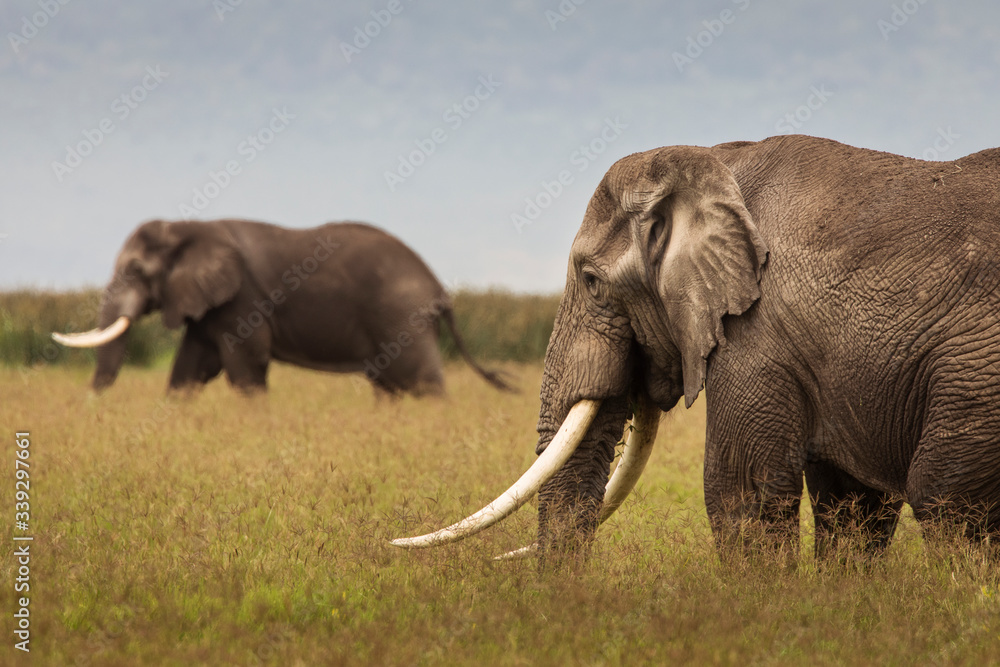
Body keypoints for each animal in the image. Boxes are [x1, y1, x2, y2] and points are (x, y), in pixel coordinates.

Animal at [51, 219, 512, 396]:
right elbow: (191, 366)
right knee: (388, 384)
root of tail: (438, 287)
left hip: (402, 314)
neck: (190, 226)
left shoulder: (242, 298)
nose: (91, 402)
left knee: (420, 379)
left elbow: (245, 365)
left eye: (134, 270)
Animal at [392, 133, 1000, 560]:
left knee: (948, 503)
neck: (713, 160)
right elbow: (852, 506)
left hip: (975, 373)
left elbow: (742, 493)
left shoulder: (756, 329)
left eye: (591, 281)